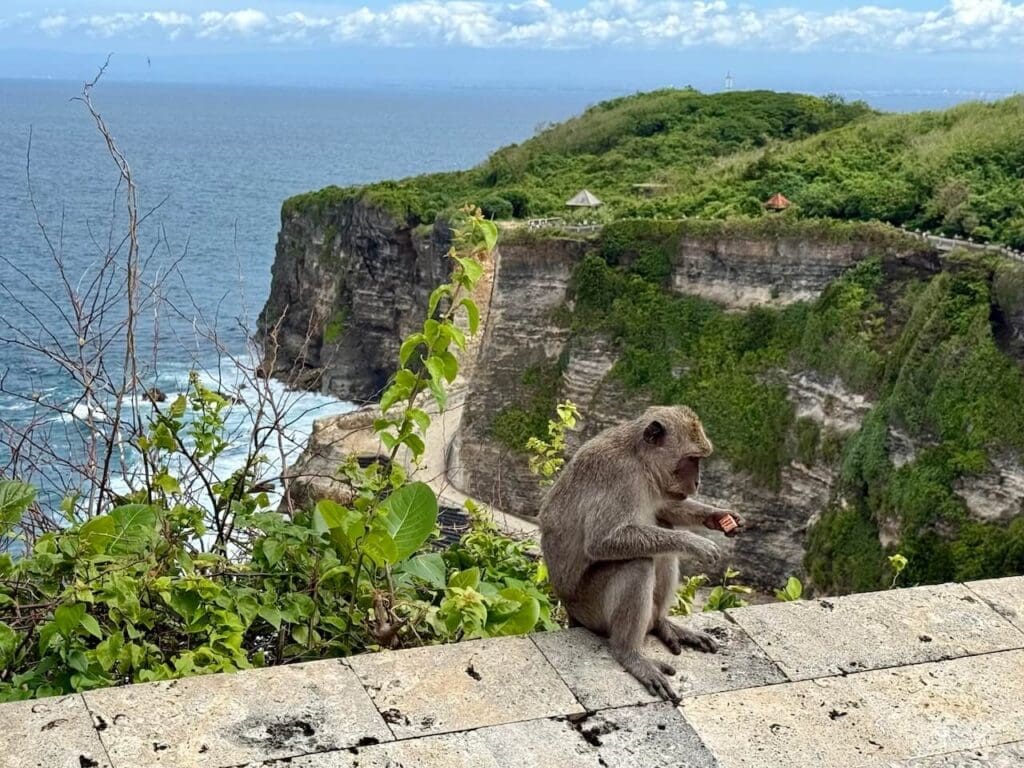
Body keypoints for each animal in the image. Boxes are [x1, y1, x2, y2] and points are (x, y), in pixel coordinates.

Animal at [539, 405, 744, 703]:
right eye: (692, 459)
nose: (697, 482)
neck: (639, 460)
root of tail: (570, 610)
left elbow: (666, 509)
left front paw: (718, 517)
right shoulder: (618, 475)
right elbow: (602, 541)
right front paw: (695, 543)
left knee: (663, 534)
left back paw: (661, 624)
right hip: (589, 608)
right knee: (637, 563)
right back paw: (629, 654)